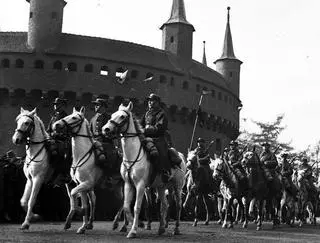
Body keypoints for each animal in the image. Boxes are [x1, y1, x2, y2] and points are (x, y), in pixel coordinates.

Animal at [102, 101, 186, 238]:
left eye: (122, 117)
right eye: (113, 114)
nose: (106, 129)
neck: (132, 156)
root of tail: (181, 156)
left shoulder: (140, 185)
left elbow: (136, 207)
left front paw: (133, 230)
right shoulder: (128, 184)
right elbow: (126, 206)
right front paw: (134, 224)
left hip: (177, 187)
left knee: (178, 205)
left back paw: (176, 229)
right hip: (161, 187)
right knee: (164, 205)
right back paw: (161, 228)